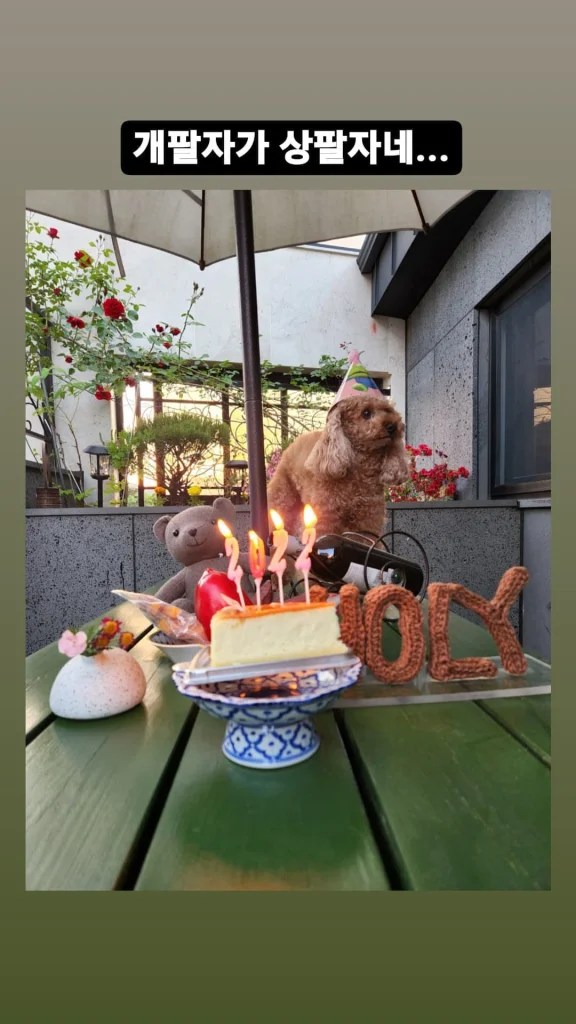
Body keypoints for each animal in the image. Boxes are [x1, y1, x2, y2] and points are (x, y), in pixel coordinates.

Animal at [267, 391, 410, 539]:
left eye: (388, 410)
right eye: (366, 413)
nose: (393, 426)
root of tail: (292, 444)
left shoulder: (368, 518)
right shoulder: (325, 516)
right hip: (283, 497)